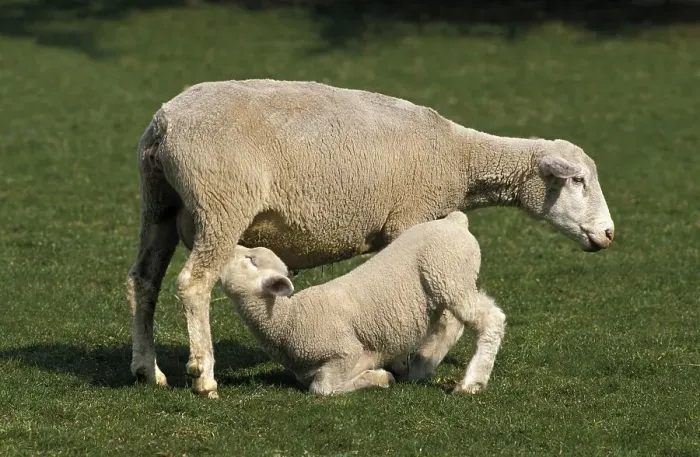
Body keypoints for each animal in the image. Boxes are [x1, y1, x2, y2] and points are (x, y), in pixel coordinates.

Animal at [219, 211, 504, 395]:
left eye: (251, 261)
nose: (226, 248)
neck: (289, 320)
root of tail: (455, 221)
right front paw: (389, 371)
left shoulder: (345, 350)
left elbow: (322, 388)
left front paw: (378, 378)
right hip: (446, 286)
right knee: (450, 325)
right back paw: (420, 368)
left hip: (449, 276)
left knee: (491, 319)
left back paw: (471, 383)